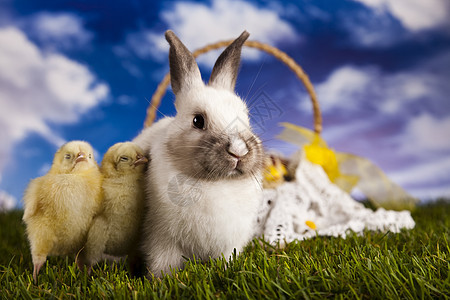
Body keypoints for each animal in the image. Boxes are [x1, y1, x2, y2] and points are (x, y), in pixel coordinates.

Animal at [134, 30, 264, 276]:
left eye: (247, 117)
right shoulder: (162, 242)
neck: (215, 182)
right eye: (198, 121)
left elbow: (225, 260)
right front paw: (161, 281)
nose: (238, 151)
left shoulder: (229, 244)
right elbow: (162, 266)